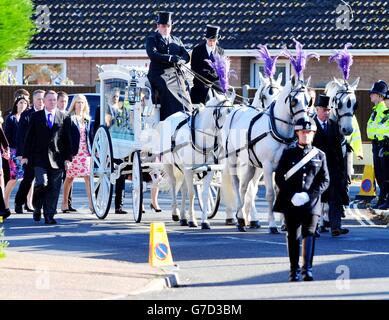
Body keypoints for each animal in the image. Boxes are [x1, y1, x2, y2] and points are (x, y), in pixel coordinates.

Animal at [157, 91, 233, 229]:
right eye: (223, 113)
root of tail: (169, 118)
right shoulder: (188, 169)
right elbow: (192, 193)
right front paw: (192, 220)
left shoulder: (208, 169)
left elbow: (204, 193)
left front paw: (204, 221)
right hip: (169, 164)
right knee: (174, 183)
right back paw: (176, 213)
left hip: (183, 169)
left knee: (183, 188)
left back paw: (183, 217)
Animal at [220, 77, 310, 232]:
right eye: (294, 101)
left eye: (309, 100)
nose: (305, 123)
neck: (276, 128)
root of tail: (235, 110)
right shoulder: (267, 167)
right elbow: (270, 194)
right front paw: (273, 225)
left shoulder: (283, 167)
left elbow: (282, 191)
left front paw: (285, 224)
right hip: (232, 159)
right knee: (236, 184)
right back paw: (241, 217)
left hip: (250, 164)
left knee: (244, 187)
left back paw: (241, 218)